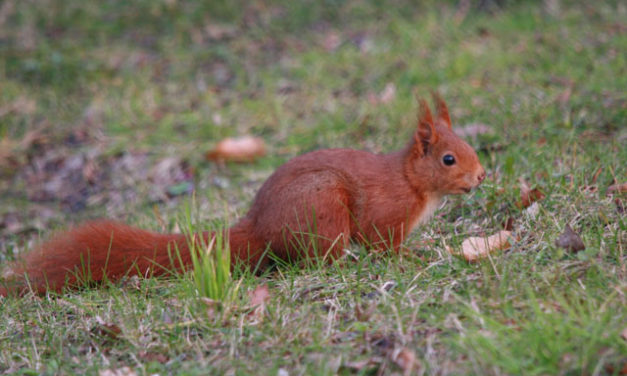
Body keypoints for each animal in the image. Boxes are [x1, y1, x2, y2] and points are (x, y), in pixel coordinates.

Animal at [0, 94, 488, 296]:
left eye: (468, 144)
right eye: (449, 159)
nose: (482, 176)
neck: (412, 181)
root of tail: (259, 229)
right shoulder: (386, 213)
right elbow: (383, 242)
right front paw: (411, 256)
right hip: (323, 207)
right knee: (316, 258)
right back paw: (342, 261)